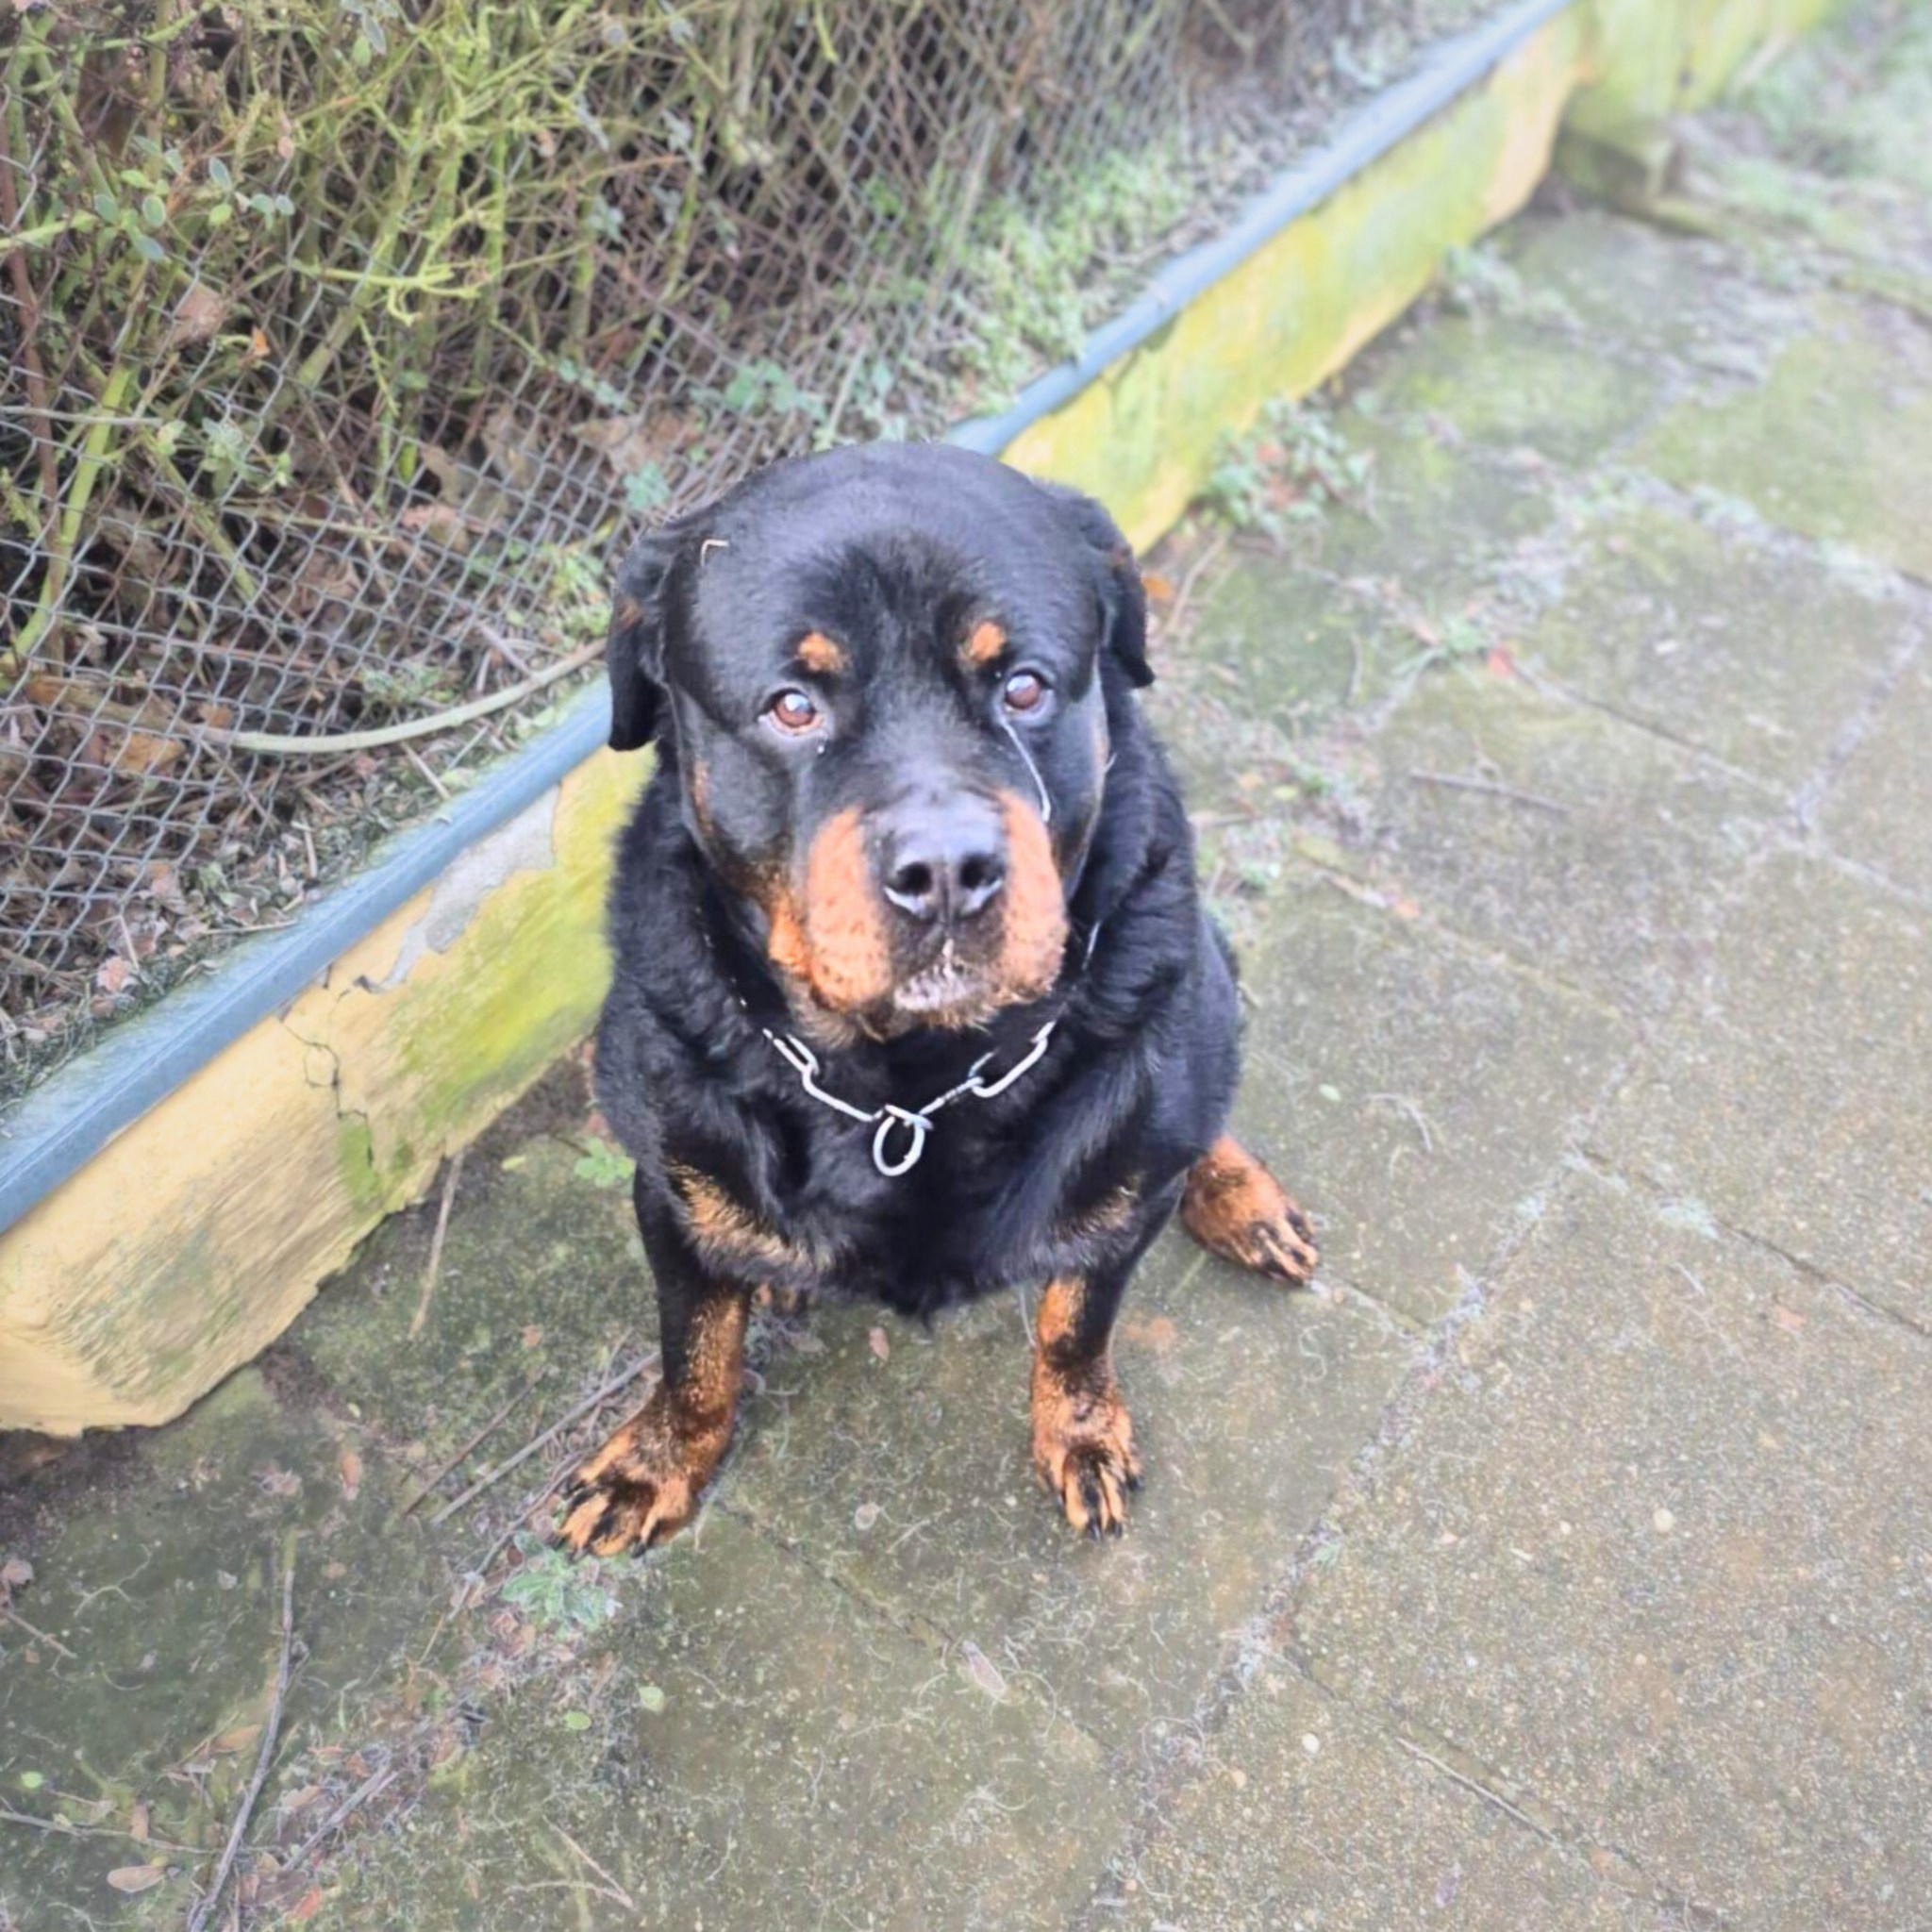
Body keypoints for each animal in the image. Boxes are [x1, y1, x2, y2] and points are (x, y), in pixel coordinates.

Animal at [555, 441, 1318, 1553]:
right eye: (793, 705)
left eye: (1025, 687)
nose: (948, 869)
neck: (908, 1085)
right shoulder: (670, 1178)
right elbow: (692, 1343)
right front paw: (656, 1457)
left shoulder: (1122, 1174)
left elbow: (1076, 1318)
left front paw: (1080, 1428)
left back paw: (1237, 1192)